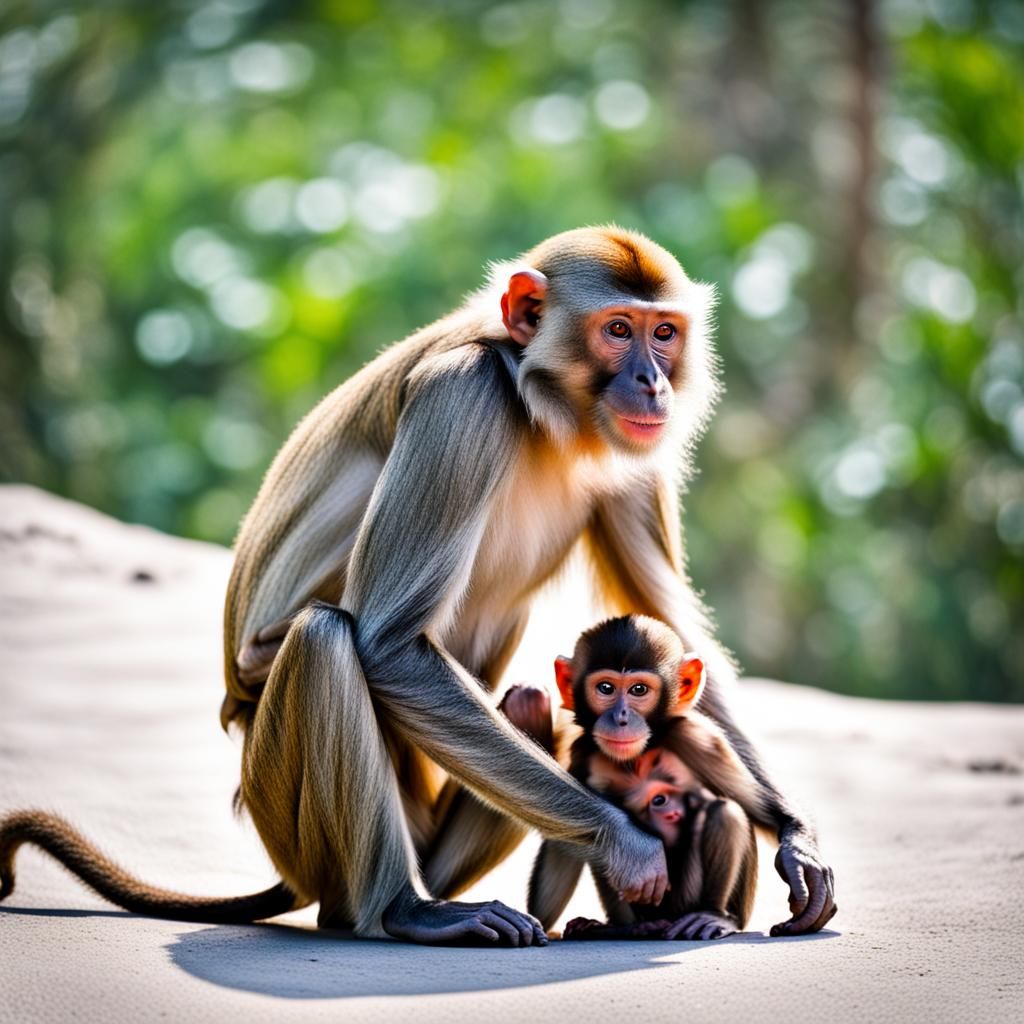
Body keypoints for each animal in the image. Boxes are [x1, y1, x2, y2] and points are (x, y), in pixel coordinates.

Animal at [530, 614, 765, 941]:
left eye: (639, 690)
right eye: (605, 688)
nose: (621, 718)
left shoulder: (695, 735)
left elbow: (757, 807)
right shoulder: (581, 752)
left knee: (726, 812)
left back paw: (713, 916)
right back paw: (619, 928)